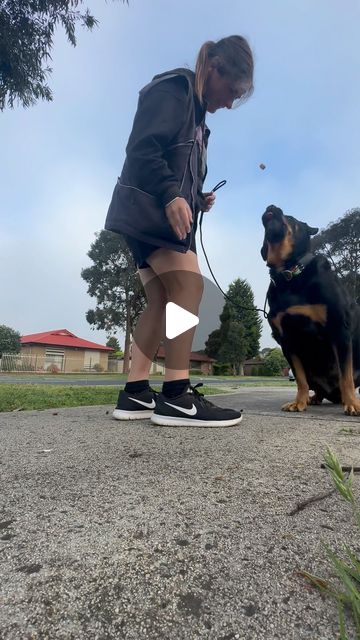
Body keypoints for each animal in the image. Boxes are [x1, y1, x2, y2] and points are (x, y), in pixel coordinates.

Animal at [262, 205, 360, 416]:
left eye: (291, 218)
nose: (271, 206)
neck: (290, 273)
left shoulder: (339, 330)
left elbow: (346, 376)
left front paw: (353, 404)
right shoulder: (287, 340)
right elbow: (300, 380)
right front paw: (299, 402)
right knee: (316, 388)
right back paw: (313, 398)